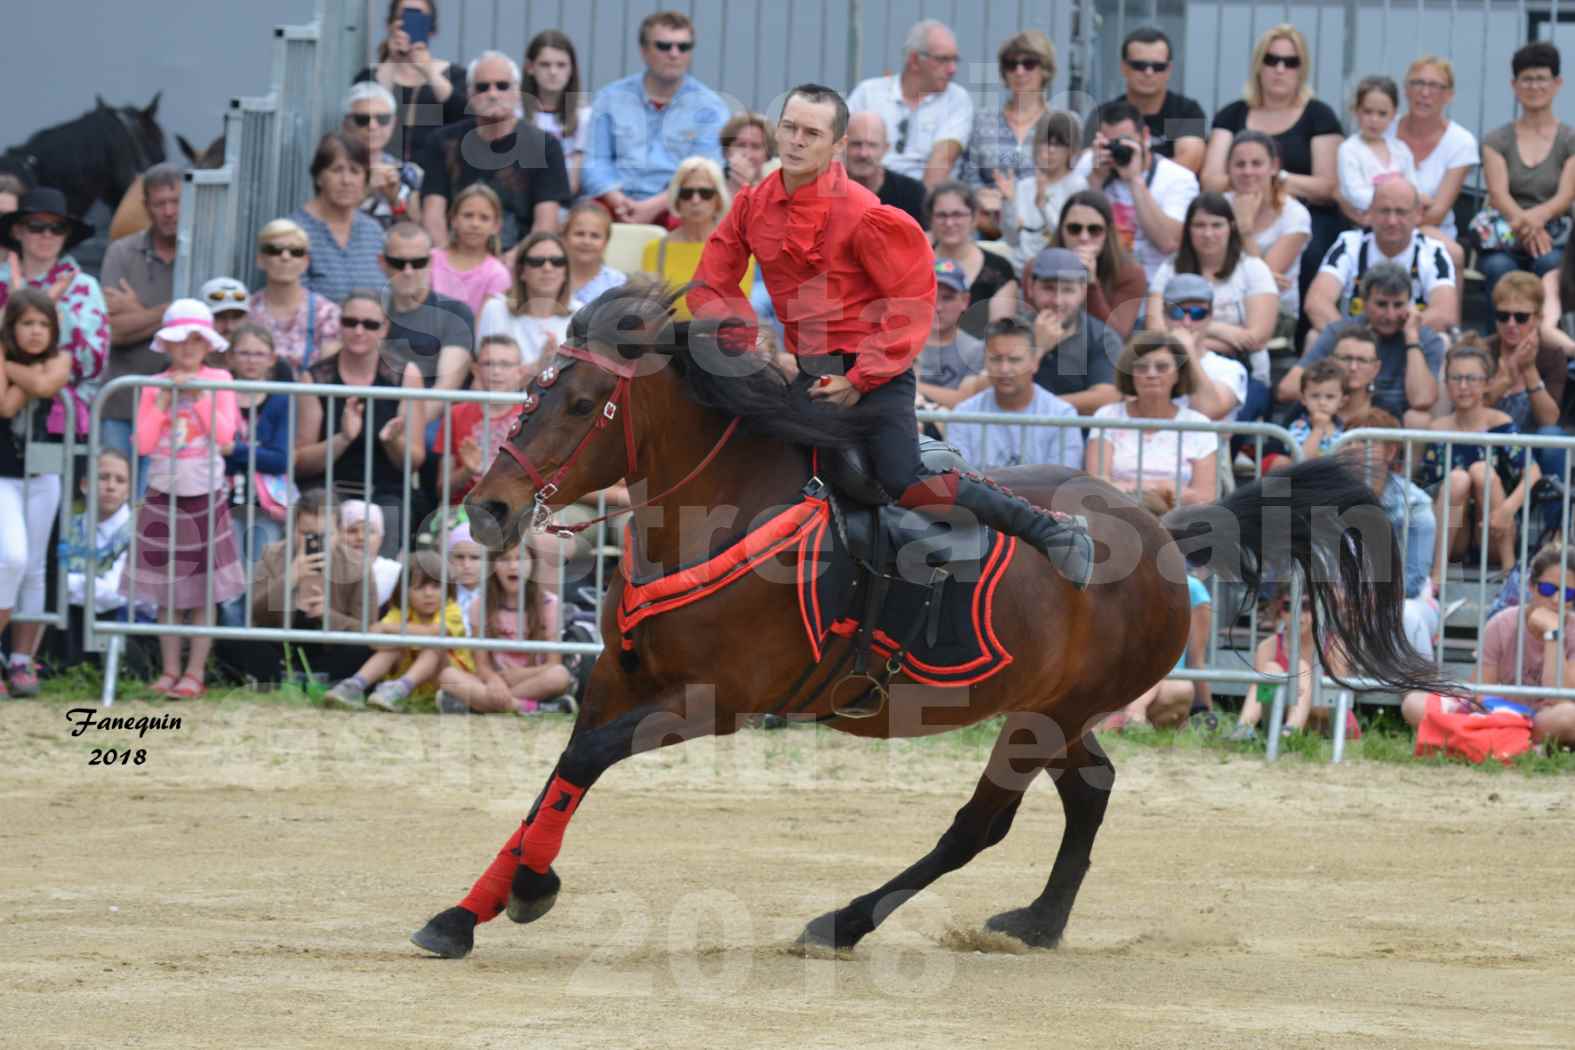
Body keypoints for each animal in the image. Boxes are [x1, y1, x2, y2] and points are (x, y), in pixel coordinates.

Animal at [412, 278, 1442, 963]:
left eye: (584, 402)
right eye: (531, 392)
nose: (489, 509)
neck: (727, 515)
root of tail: (1165, 528)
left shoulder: (716, 700)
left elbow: (584, 761)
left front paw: (520, 894)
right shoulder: (620, 678)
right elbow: (559, 776)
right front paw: (472, 907)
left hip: (1039, 721)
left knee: (978, 826)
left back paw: (845, 921)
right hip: (1055, 714)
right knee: (1092, 790)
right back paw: (1038, 922)